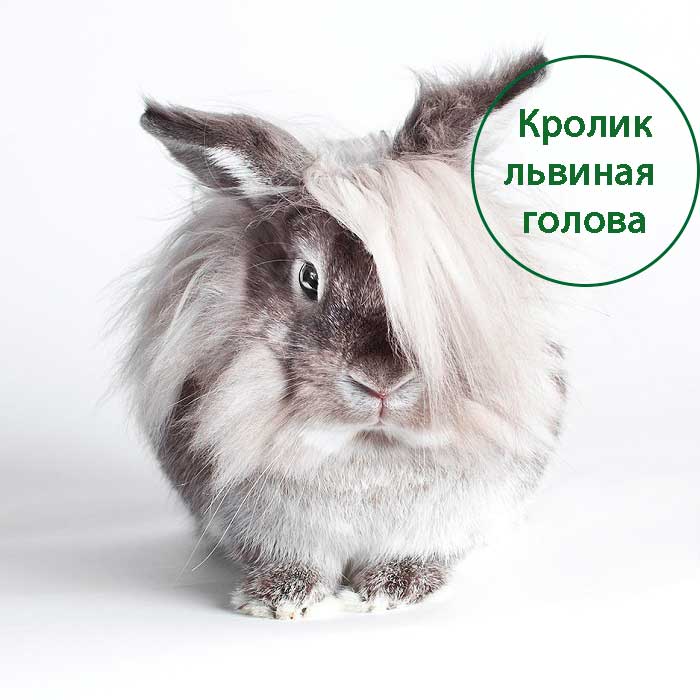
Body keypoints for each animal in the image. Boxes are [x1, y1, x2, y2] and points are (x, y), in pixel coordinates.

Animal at [122, 48, 566, 619]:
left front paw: (394, 589)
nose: (381, 383)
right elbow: (291, 559)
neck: (366, 445)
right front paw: (279, 598)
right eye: (309, 278)